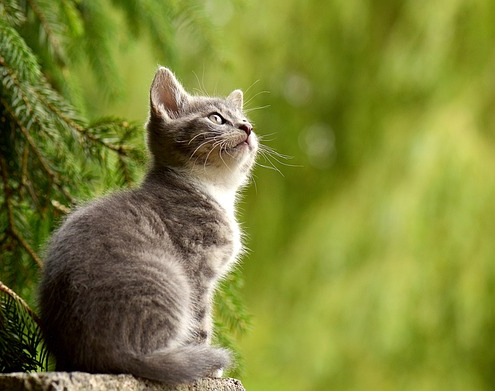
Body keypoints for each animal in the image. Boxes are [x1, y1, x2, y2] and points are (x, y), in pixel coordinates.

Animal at [38, 67, 260, 386]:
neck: (213, 189)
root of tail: (104, 356)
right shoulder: (197, 270)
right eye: (216, 118)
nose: (247, 128)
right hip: (171, 279)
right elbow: (201, 322)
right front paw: (210, 368)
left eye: (245, 119)